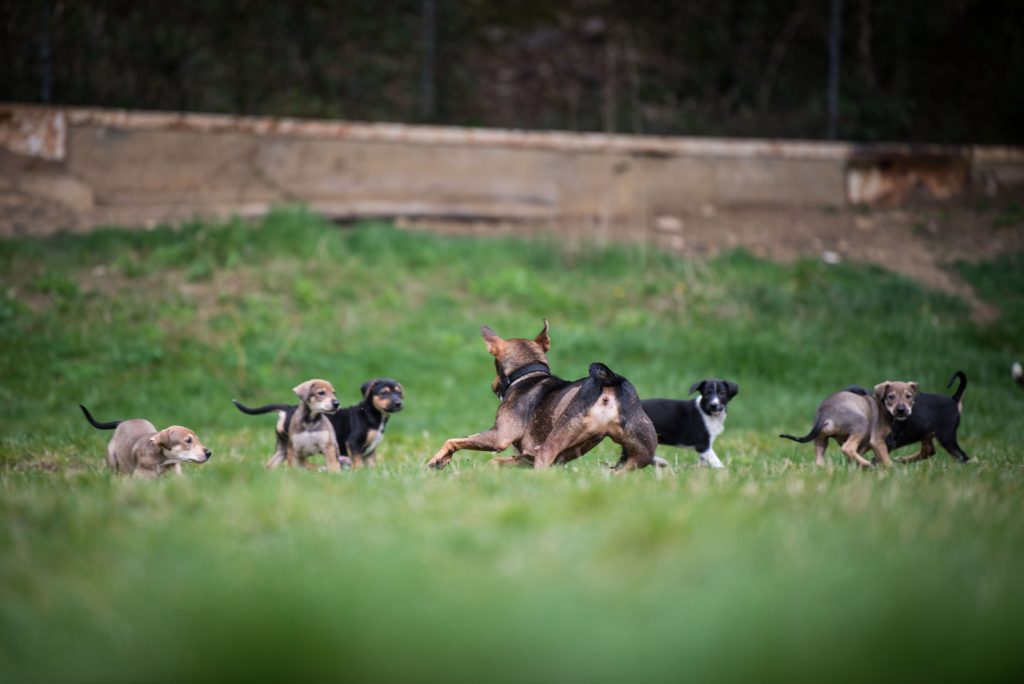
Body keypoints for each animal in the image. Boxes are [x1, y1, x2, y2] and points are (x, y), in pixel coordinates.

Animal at [79, 403, 211, 479]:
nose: (209, 453)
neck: (162, 463)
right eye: (188, 440)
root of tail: (122, 422)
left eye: (198, 440)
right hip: (112, 459)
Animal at [235, 376, 403, 466]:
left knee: (271, 464)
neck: (371, 414)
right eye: (384, 393)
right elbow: (358, 464)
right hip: (293, 445)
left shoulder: (370, 452)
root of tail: (288, 409)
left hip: (282, 446)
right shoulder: (353, 443)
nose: (398, 403)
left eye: (399, 393)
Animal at [428, 319, 659, 471]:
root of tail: (610, 382)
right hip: (640, 456)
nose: (493, 385)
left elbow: (454, 440)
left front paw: (438, 460)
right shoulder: (525, 458)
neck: (528, 373)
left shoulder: (499, 436)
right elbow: (496, 462)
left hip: (551, 444)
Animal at [778, 382, 917, 466]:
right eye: (891, 397)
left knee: (820, 459)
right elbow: (885, 458)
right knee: (847, 448)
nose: (902, 410)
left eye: (909, 396)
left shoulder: (864, 444)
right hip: (861, 425)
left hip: (821, 439)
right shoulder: (876, 441)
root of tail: (824, 414)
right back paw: (867, 464)